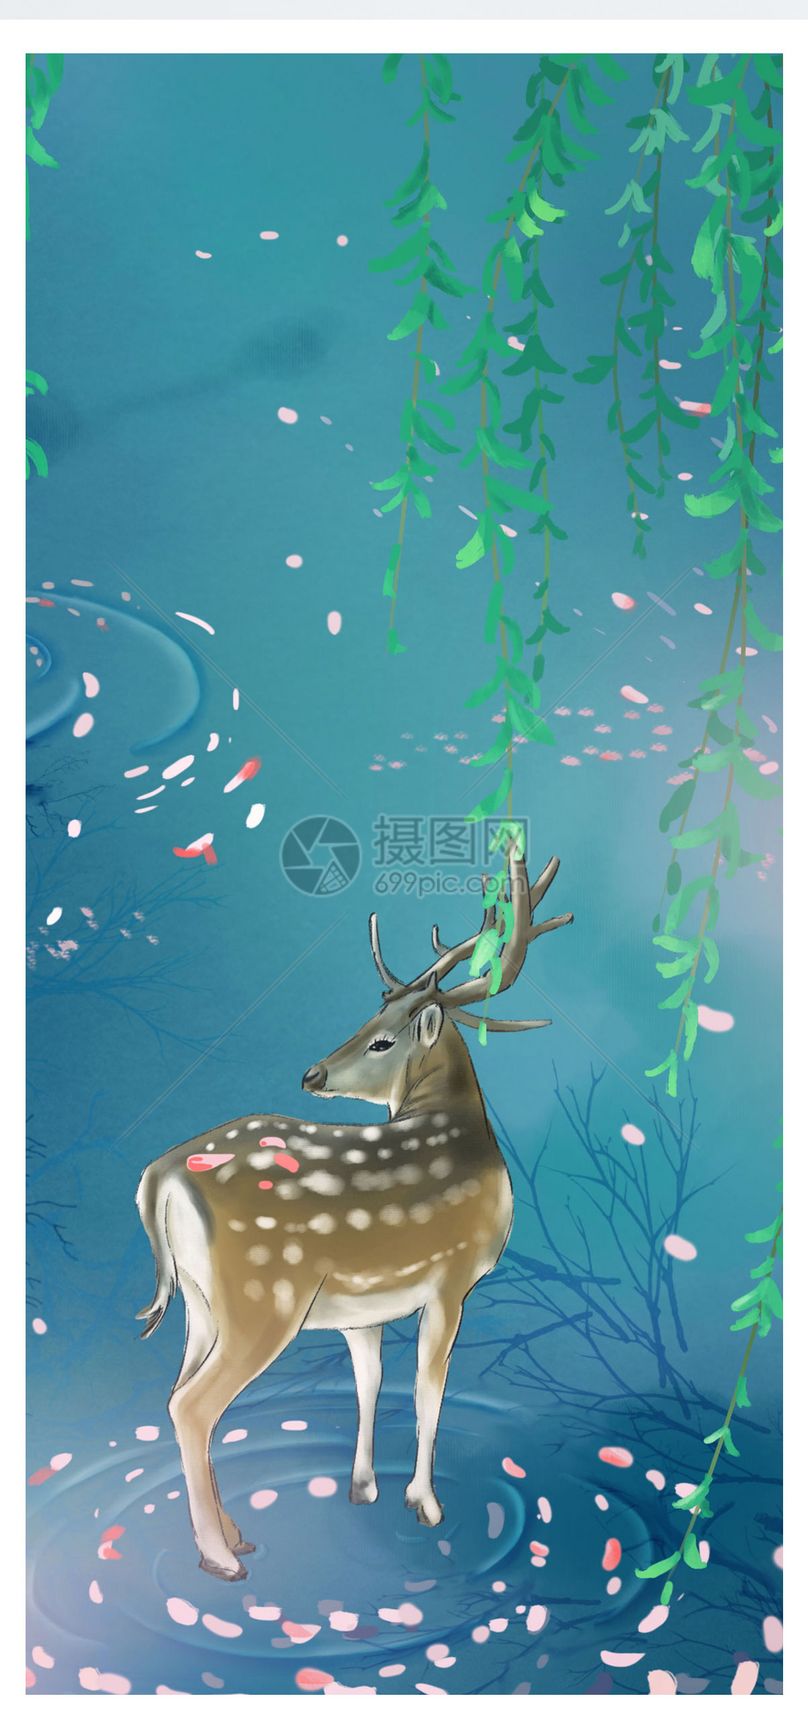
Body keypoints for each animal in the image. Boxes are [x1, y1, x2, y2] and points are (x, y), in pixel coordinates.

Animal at [135, 839, 572, 1581]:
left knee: (173, 1392)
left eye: (381, 1038)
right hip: (263, 1295)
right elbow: (429, 1388)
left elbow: (372, 1380)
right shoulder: (453, 1278)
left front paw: (364, 1485)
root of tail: (160, 1177)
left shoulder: (364, 1306)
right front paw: (426, 1503)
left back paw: (234, 1534)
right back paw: (222, 1557)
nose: (312, 1074)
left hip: (199, 1301)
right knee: (195, 1405)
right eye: (370, 1022)